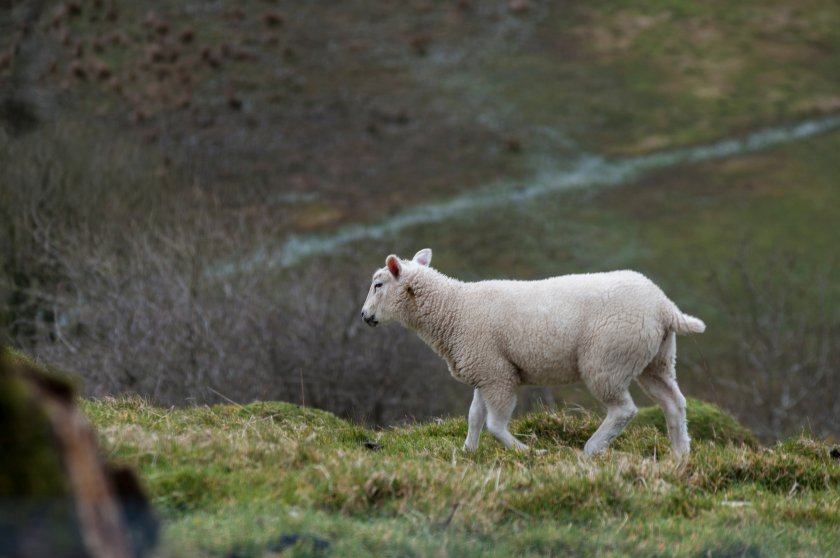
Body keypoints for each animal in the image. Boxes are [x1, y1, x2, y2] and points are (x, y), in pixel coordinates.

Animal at [358, 250, 704, 460]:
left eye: (378, 284)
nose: (364, 316)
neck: (454, 309)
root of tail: (665, 308)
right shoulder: (486, 369)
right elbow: (474, 417)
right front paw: (468, 452)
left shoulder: (497, 375)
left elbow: (495, 425)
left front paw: (527, 452)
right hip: (656, 359)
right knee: (673, 402)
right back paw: (680, 454)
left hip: (608, 359)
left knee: (623, 410)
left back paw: (591, 449)